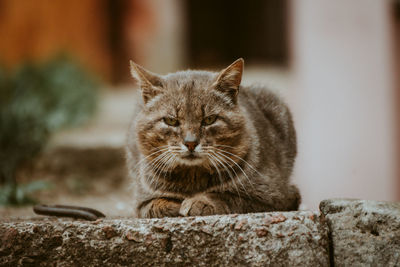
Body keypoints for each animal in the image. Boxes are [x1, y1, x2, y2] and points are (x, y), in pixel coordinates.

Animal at [126, 58, 300, 218]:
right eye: (171, 121)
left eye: (209, 119)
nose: (190, 143)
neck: (192, 176)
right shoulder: (141, 202)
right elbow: (154, 205)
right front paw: (174, 205)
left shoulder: (276, 196)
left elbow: (228, 196)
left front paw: (199, 202)